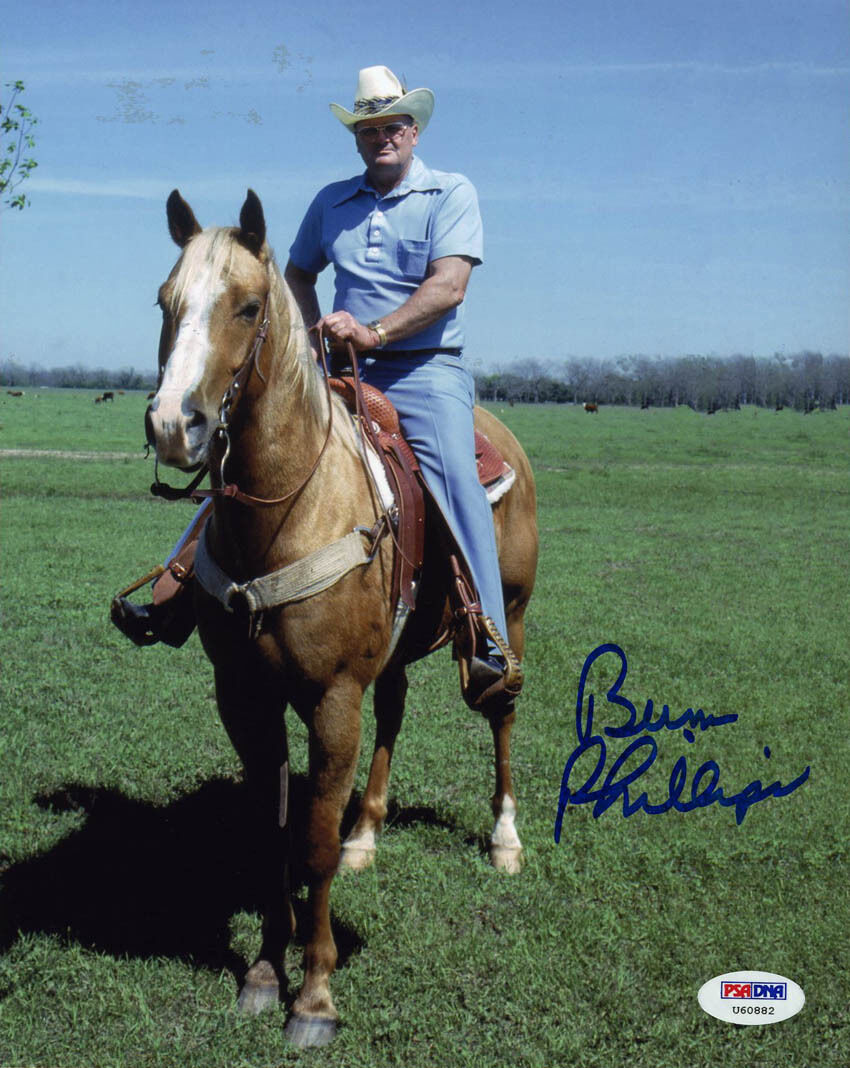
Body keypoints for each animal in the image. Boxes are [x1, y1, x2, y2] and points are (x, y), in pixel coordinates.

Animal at [143, 187, 533, 1046]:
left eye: (249, 307)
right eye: (165, 302)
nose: (174, 425)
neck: (286, 512)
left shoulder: (330, 698)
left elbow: (312, 844)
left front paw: (315, 996)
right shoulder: (244, 696)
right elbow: (274, 832)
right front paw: (263, 973)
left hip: (512, 615)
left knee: (501, 709)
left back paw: (505, 839)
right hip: (395, 653)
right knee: (395, 712)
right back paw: (369, 832)